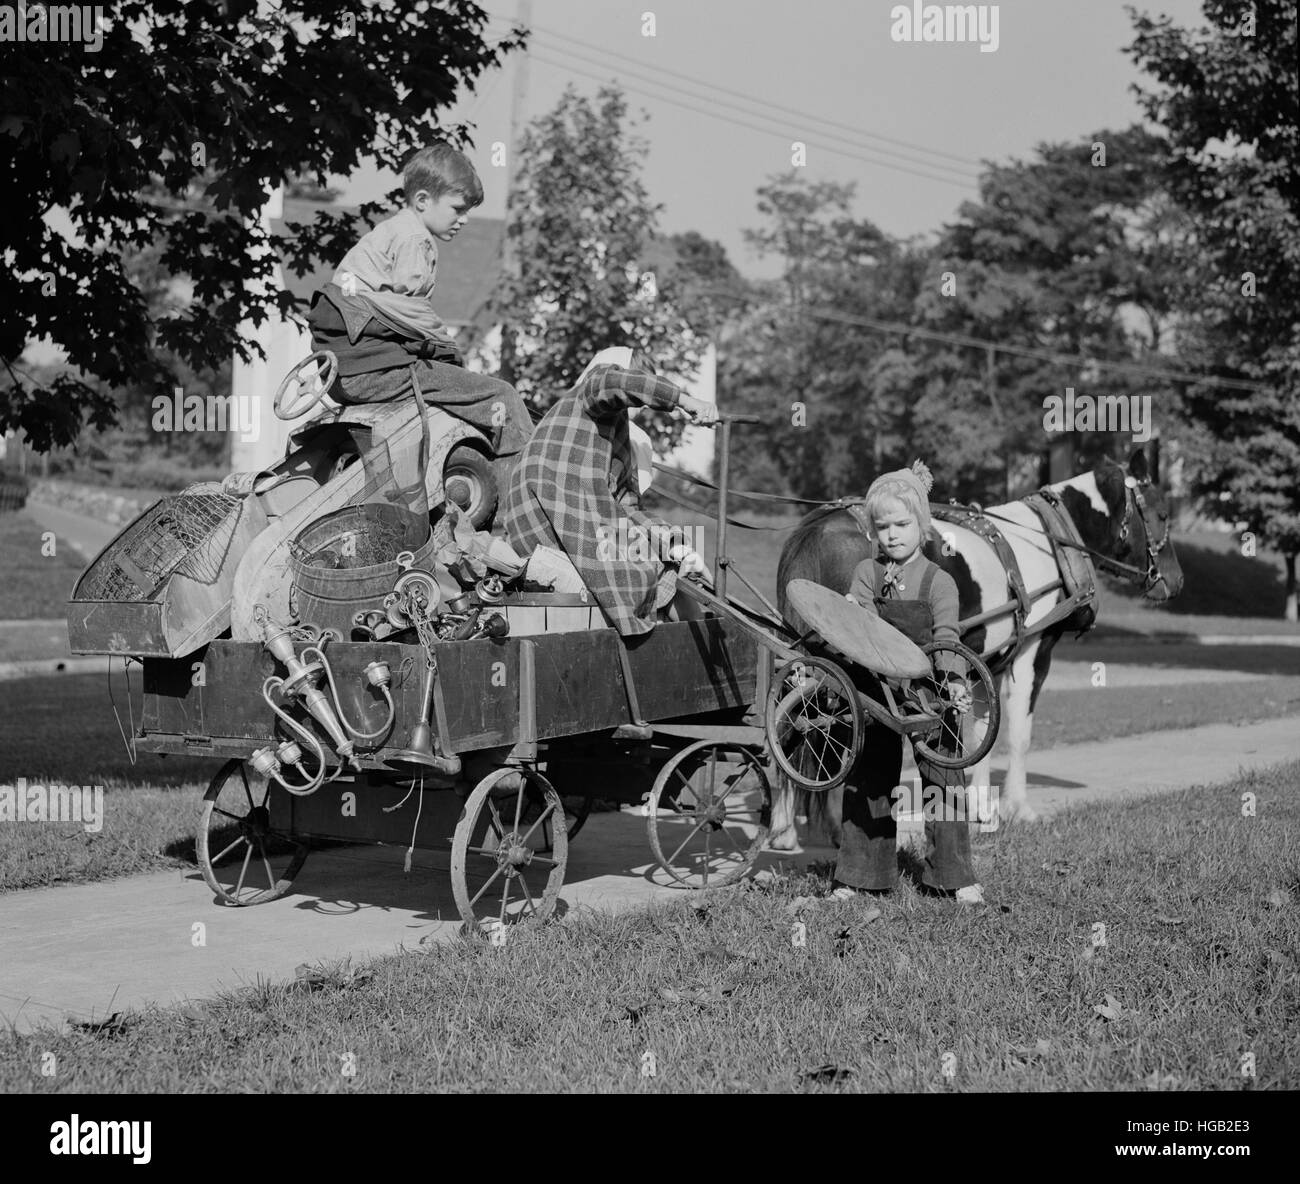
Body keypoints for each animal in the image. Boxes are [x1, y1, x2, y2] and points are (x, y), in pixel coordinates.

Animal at [764, 444, 1185, 842]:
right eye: (1163, 514)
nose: (1176, 581)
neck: (1048, 541)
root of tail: (816, 528)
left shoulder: (986, 660)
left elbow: (983, 731)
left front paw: (982, 807)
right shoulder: (1033, 653)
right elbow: (1019, 735)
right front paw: (1018, 807)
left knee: (788, 721)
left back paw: (785, 826)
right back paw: (829, 824)